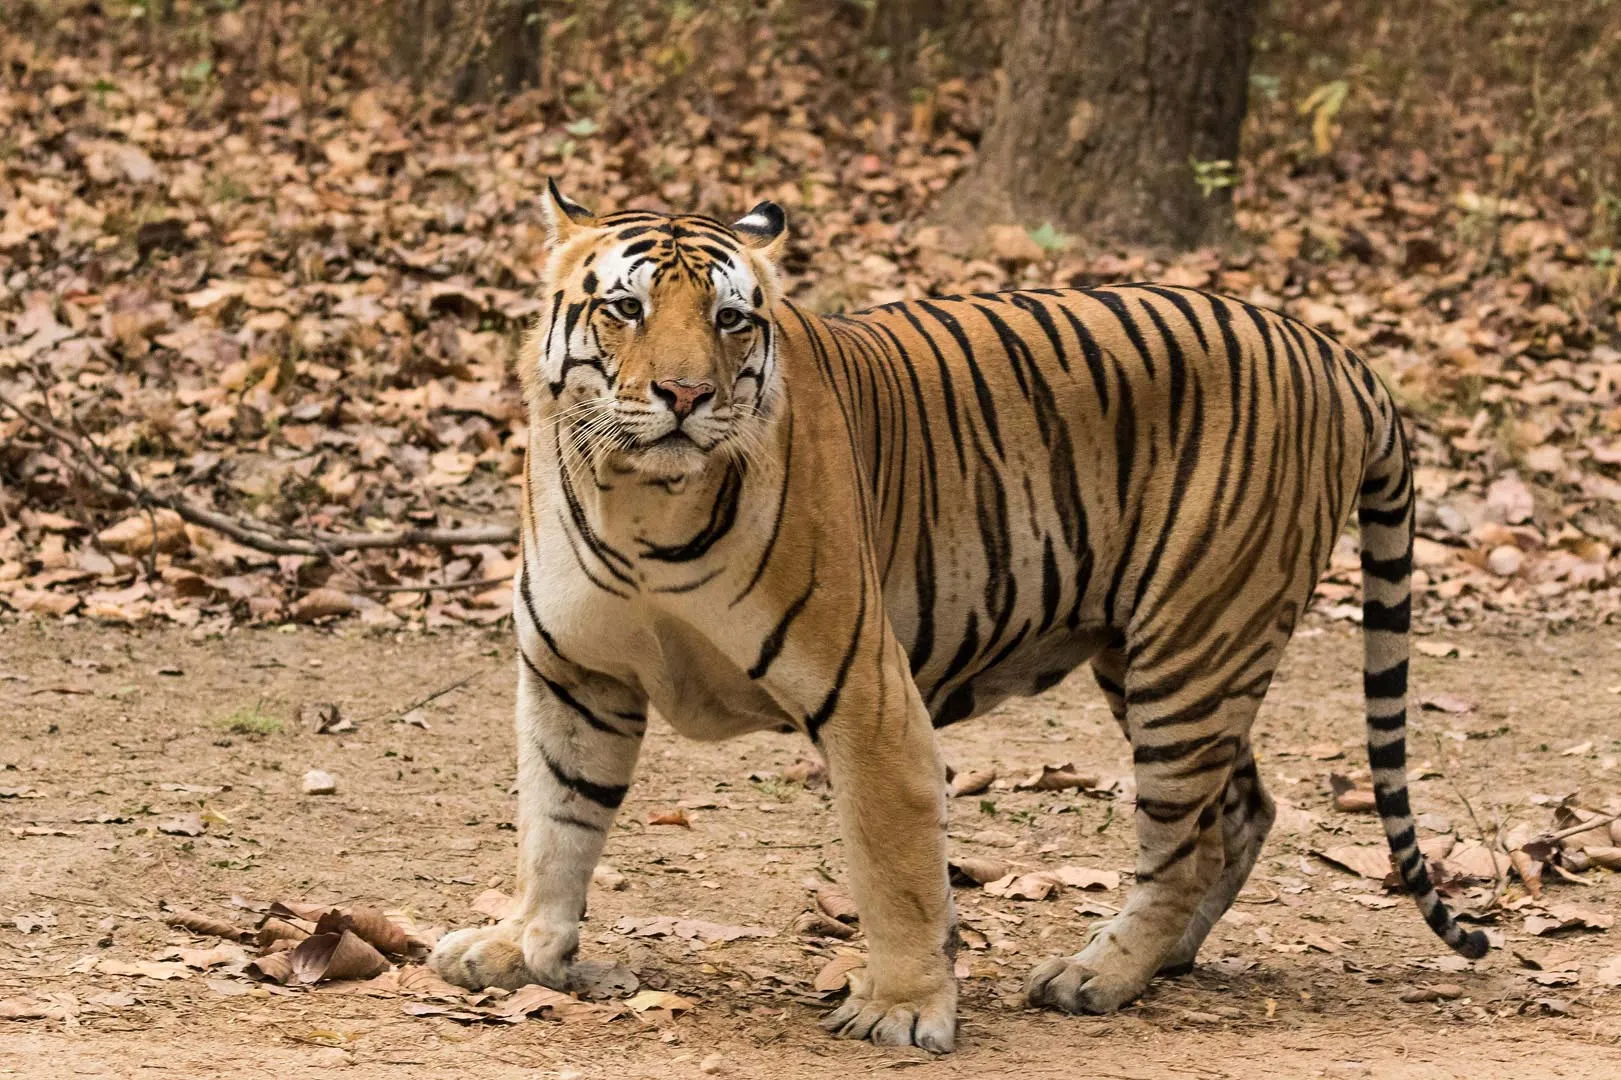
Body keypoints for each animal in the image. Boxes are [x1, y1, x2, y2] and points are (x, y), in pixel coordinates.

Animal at [424, 180, 1484, 1044]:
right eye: (624, 308)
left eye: (729, 319)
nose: (685, 395)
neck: (637, 501)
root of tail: (1333, 350)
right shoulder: (576, 674)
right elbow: (557, 822)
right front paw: (524, 950)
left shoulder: (866, 692)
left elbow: (893, 863)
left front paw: (901, 1008)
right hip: (1154, 653)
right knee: (1241, 810)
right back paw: (1165, 958)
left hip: (1194, 645)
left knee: (1183, 840)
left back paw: (1098, 975)